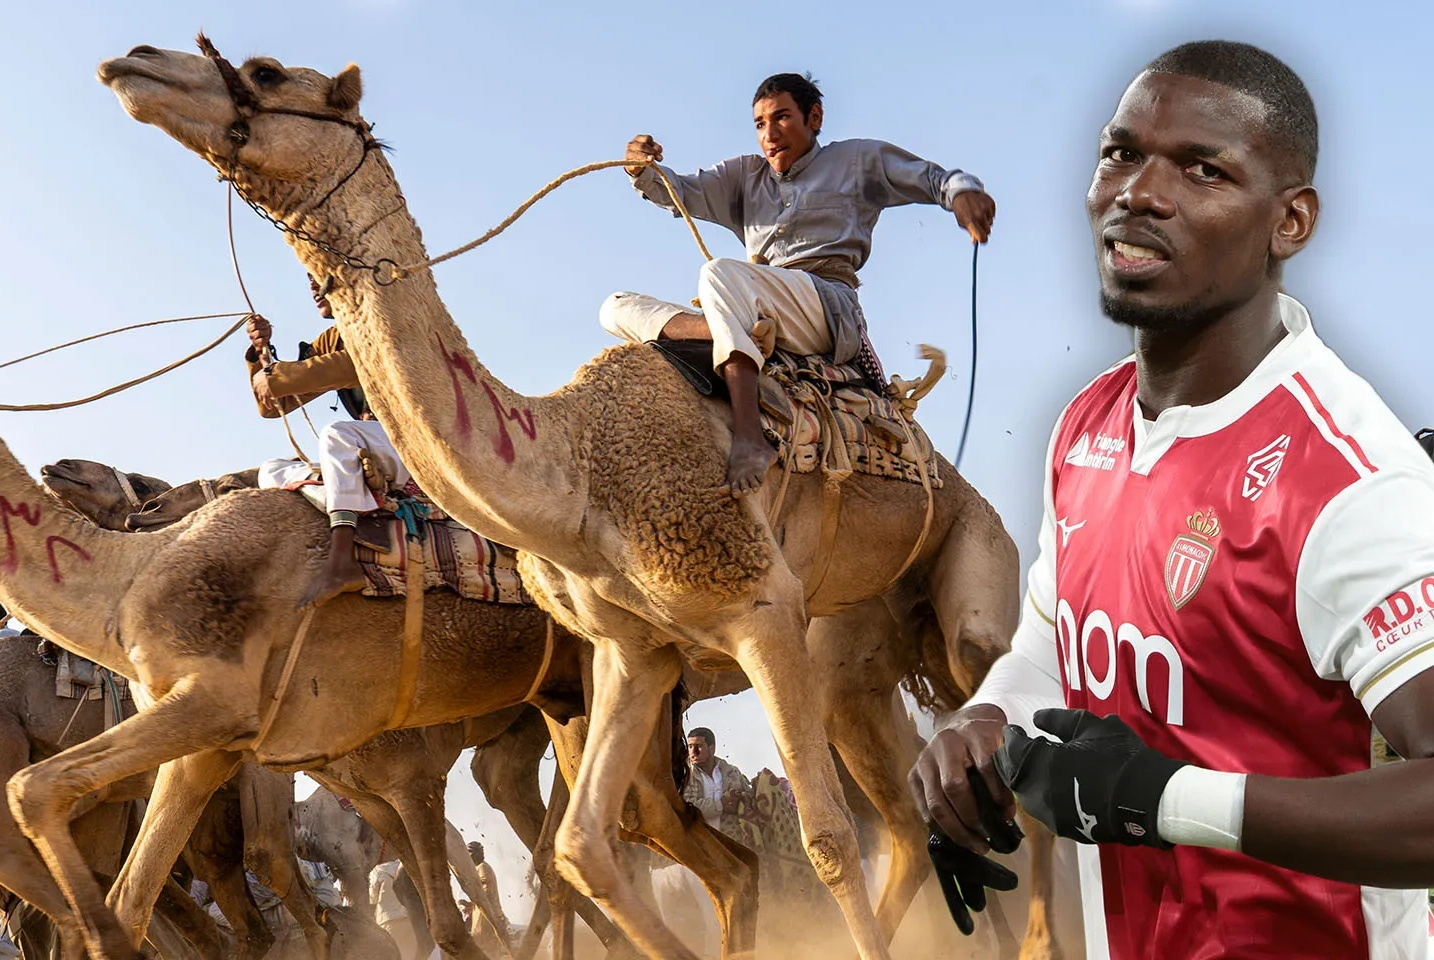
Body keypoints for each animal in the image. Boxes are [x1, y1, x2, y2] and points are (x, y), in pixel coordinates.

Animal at [94, 41, 1022, 960]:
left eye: (265, 72)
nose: (134, 59)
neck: (576, 473)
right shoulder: (632, 647)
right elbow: (582, 849)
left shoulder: (759, 606)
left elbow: (824, 839)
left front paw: (968, 199)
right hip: (854, 663)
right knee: (910, 817)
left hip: (959, 591)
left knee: (976, 727)